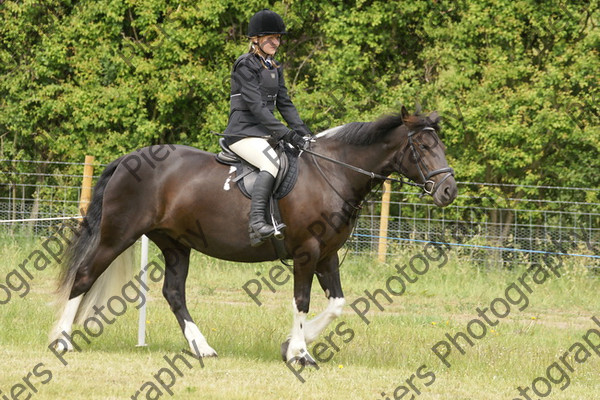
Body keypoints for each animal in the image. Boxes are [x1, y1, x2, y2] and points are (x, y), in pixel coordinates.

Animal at [49, 107, 458, 366]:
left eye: (441, 145)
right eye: (423, 147)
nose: (448, 191)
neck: (333, 172)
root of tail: (129, 159)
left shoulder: (327, 254)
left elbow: (337, 304)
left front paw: (292, 345)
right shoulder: (307, 252)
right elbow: (302, 301)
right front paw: (300, 354)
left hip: (175, 243)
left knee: (174, 293)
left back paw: (202, 348)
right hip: (117, 234)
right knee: (84, 276)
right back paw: (62, 341)